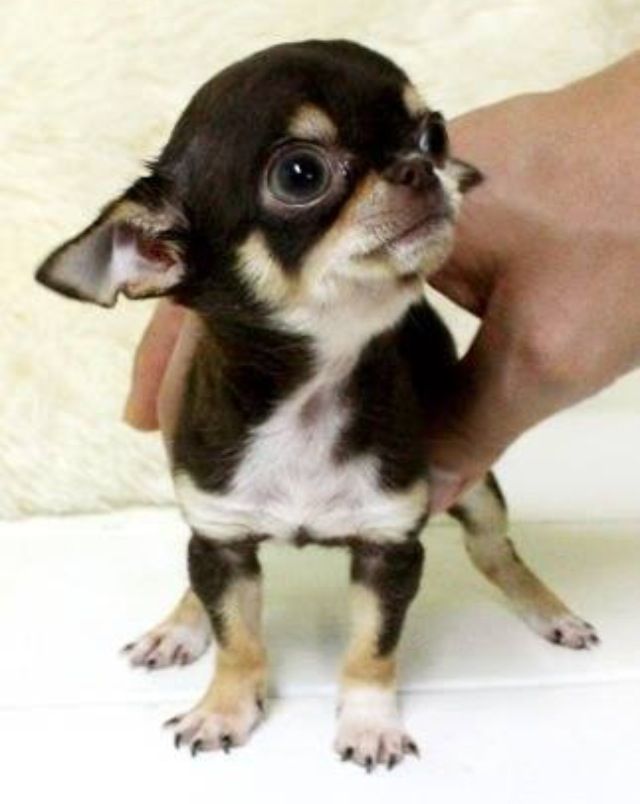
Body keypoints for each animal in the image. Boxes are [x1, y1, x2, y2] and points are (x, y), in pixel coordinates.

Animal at [36, 40, 600, 768]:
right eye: (301, 174)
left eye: (434, 134)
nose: (421, 166)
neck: (310, 394)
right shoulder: (222, 538)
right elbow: (238, 638)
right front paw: (223, 707)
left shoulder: (390, 548)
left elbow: (371, 648)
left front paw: (369, 723)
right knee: (201, 576)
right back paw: (181, 626)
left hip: (476, 491)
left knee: (495, 551)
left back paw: (549, 611)